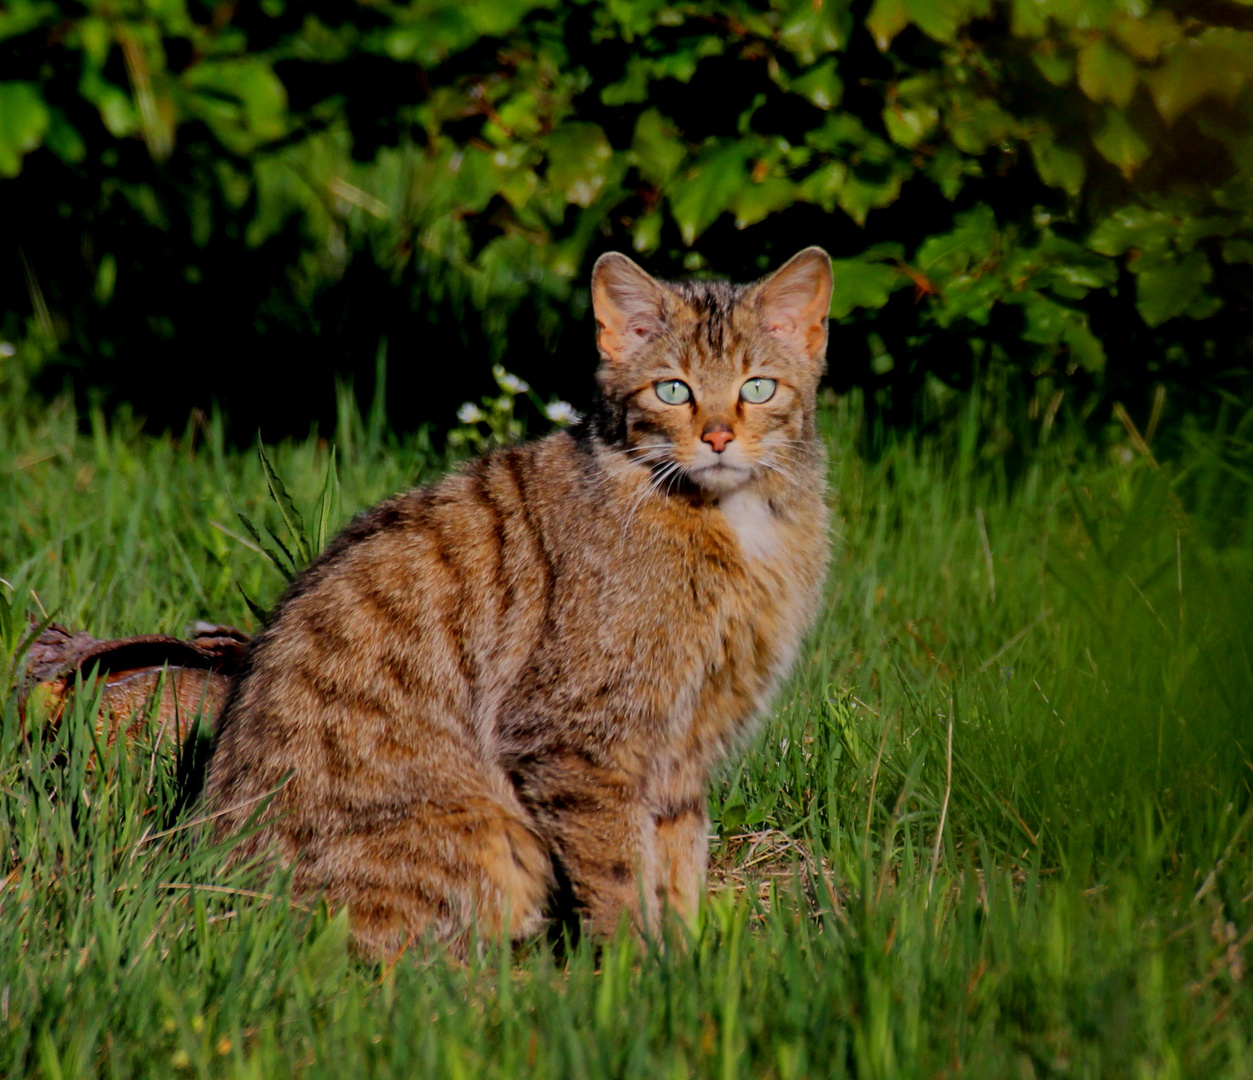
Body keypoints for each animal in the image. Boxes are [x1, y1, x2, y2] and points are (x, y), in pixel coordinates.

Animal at [205, 249, 831, 962]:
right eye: (673, 390)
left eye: (758, 388)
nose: (719, 437)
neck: (729, 519)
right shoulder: (575, 735)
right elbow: (618, 870)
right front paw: (633, 965)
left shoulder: (686, 738)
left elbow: (678, 860)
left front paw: (684, 960)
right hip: (488, 838)